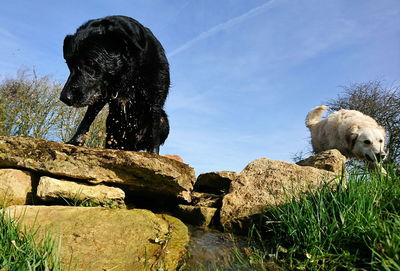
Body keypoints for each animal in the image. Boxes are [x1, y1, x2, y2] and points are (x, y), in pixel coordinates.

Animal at [60, 15, 170, 154]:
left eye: (90, 62)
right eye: (69, 64)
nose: (64, 98)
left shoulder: (155, 98)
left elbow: (154, 133)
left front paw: (153, 154)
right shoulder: (99, 95)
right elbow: (86, 119)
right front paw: (74, 141)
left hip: (164, 121)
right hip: (111, 122)